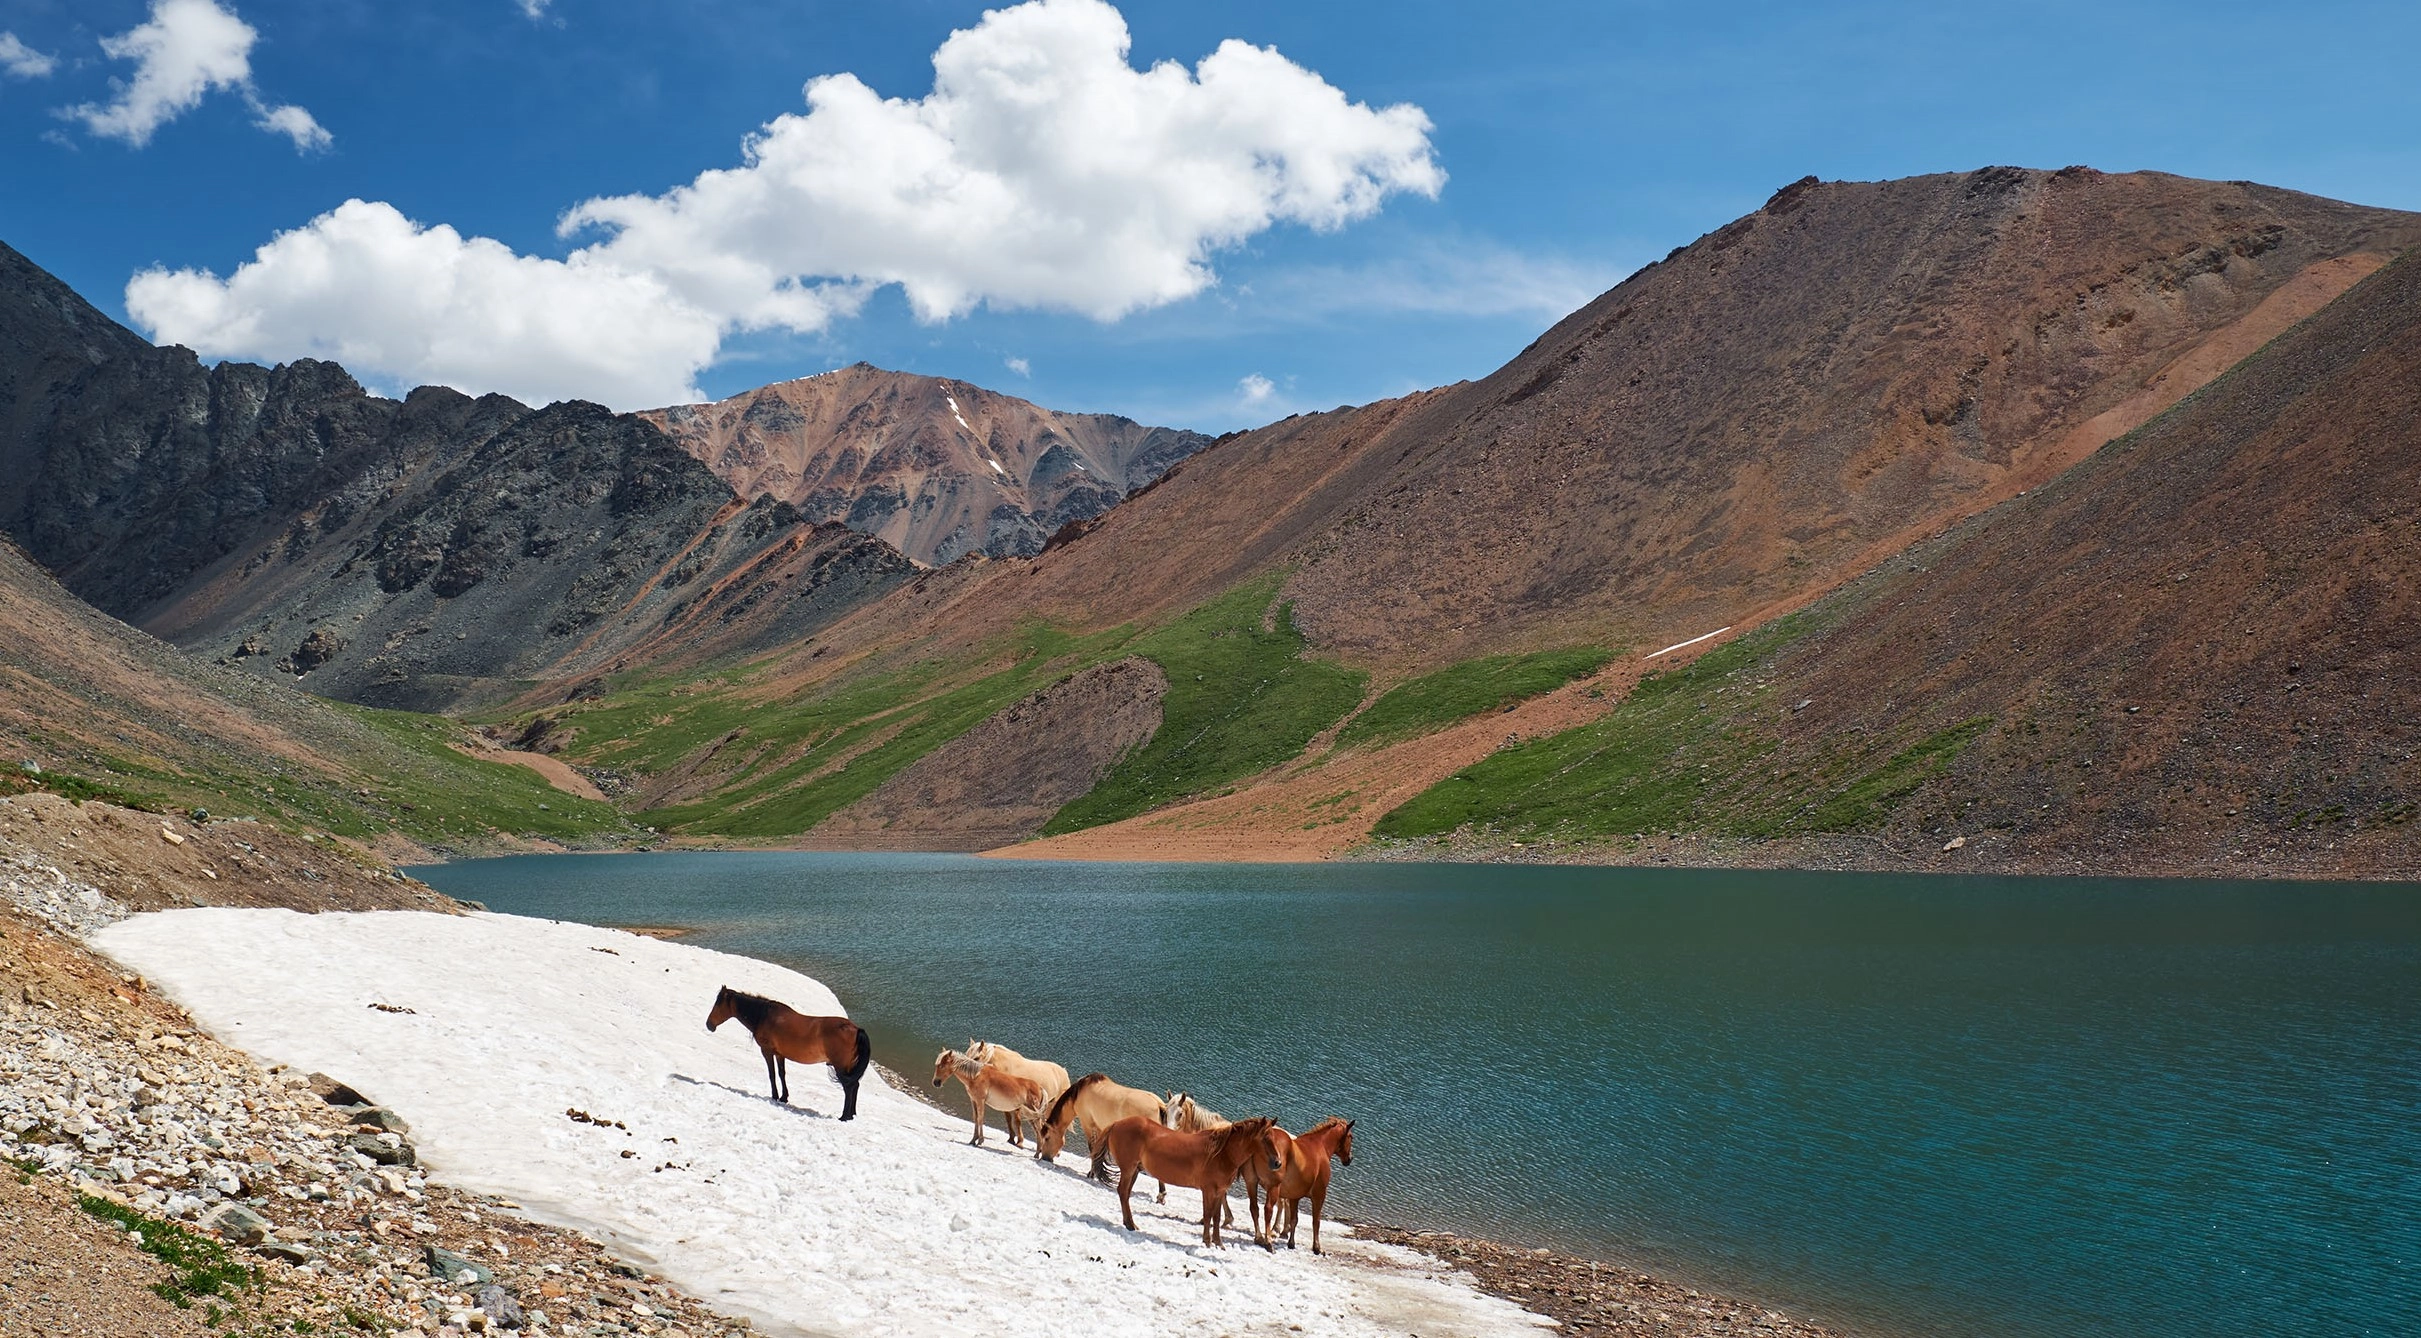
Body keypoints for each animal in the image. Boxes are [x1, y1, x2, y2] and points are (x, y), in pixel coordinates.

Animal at [702, 982, 871, 1117]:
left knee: (849, 1088)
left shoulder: (767, 1051)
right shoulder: (779, 1054)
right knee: (855, 1085)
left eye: (718, 1004)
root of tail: (856, 1029)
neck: (763, 1016)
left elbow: (771, 1074)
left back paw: (844, 1116)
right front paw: (784, 1097)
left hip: (841, 1066)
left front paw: (775, 1096)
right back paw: (852, 1114)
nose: (709, 1024)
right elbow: (782, 1074)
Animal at [1031, 1069, 1162, 1175]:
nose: (1045, 1158)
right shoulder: (1099, 1127)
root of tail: (1159, 1104)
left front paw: (1091, 1174)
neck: (1079, 1093)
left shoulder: (1087, 1124)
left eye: (1047, 1138)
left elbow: (1093, 1148)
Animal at [1103, 1112, 1287, 1248]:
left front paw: (1219, 1243)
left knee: (1125, 1194)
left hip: (1134, 1170)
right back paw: (1130, 1225)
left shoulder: (1219, 1192)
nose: (1277, 1163)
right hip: (1128, 1169)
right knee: (1122, 1192)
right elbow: (1207, 1215)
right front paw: (1207, 1241)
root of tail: (1117, 1123)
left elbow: (1216, 1217)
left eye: (1273, 1138)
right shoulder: (1208, 1190)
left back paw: (1129, 1224)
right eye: (1265, 1138)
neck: (1221, 1154)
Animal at [1268, 1112, 1365, 1248]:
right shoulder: (1319, 1194)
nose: (1349, 1159)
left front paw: (1291, 1242)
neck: (1321, 1146)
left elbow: (1294, 1219)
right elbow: (1316, 1221)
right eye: (1351, 1137)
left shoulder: (1295, 1195)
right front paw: (1316, 1247)